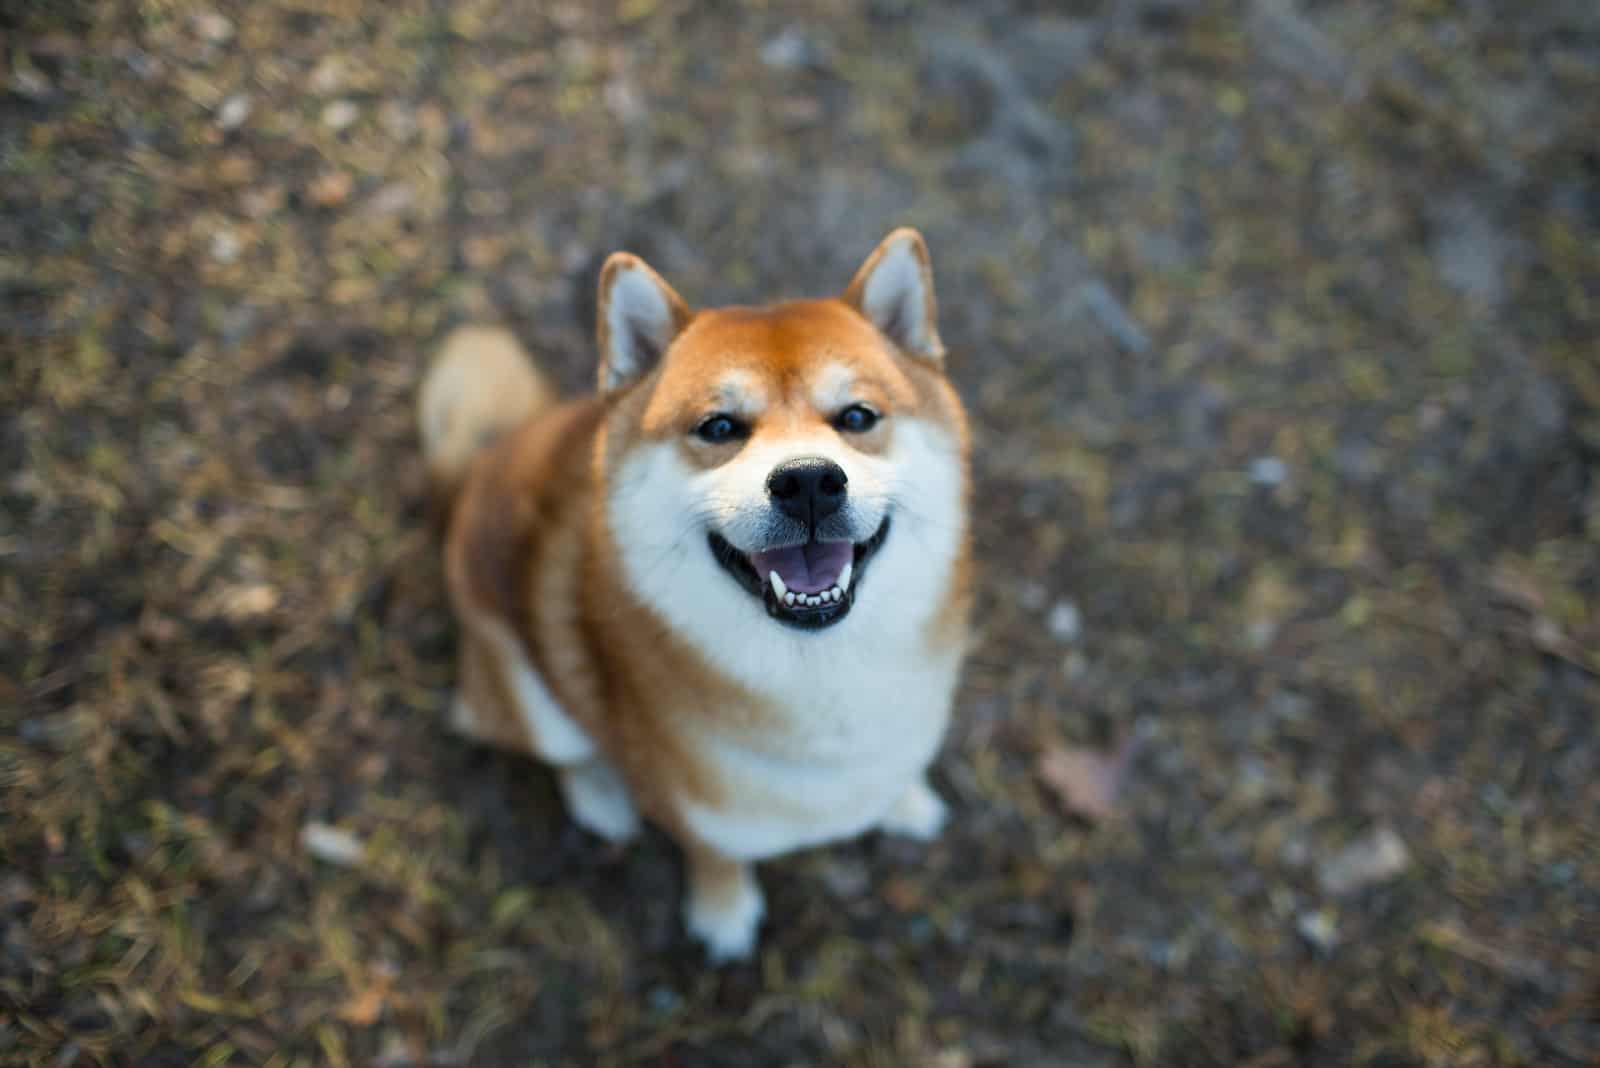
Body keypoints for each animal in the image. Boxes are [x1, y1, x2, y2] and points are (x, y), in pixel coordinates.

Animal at [419, 227, 966, 959]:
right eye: (719, 427)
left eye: (857, 416)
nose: (809, 481)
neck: (821, 679)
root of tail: (479, 466)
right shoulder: (696, 816)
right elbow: (716, 854)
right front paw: (723, 914)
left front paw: (903, 800)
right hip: (523, 691)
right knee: (562, 746)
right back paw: (601, 795)